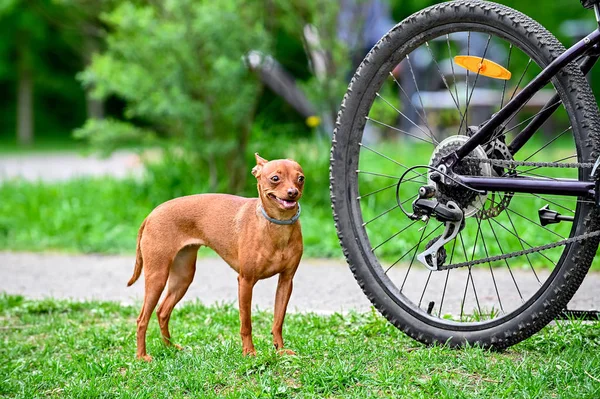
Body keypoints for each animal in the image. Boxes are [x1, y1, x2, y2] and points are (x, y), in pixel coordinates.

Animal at [127, 152, 304, 360]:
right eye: (275, 178)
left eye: (300, 178)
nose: (293, 192)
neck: (277, 226)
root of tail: (151, 215)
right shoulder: (245, 281)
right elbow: (246, 324)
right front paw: (249, 352)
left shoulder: (286, 281)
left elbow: (278, 321)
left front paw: (281, 351)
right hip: (157, 277)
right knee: (142, 319)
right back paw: (142, 356)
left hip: (183, 277)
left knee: (162, 311)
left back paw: (170, 347)